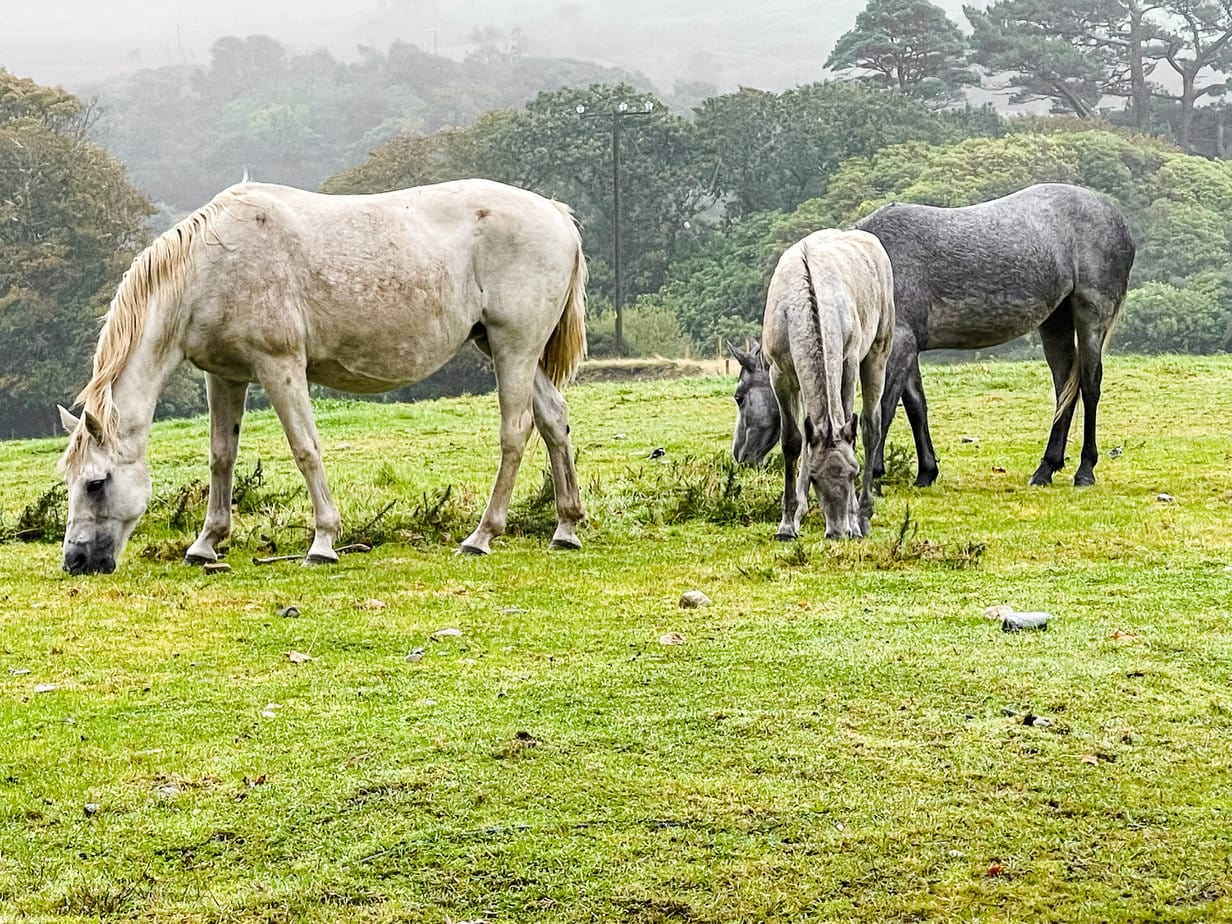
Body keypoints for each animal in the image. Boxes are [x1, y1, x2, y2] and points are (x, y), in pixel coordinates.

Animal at [60, 177, 588, 576]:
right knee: (554, 422)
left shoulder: (280, 365)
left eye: (95, 483)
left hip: (513, 348)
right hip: (508, 349)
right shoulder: (225, 376)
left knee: (515, 432)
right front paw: (206, 543)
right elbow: (221, 457)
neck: (211, 265)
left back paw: (482, 535)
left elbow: (305, 449)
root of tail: (556, 214)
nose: (76, 561)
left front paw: (323, 541)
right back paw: (566, 528)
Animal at [729, 182, 1133, 492]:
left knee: (1090, 386)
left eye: (738, 396)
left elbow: (884, 409)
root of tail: (1116, 217)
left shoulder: (897, 348)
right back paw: (1046, 468)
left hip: (1090, 317)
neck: (872, 268)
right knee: (1065, 386)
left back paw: (1084, 471)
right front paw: (926, 472)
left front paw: (874, 477)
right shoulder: (908, 350)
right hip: (1055, 322)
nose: (739, 457)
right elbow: (916, 405)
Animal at [729, 226, 896, 539]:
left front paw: (853, 519)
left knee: (871, 427)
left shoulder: (848, 362)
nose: (838, 531)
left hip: (877, 353)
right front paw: (788, 522)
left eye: (853, 473)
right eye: (816, 478)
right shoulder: (782, 375)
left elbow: (847, 422)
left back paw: (863, 516)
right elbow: (794, 440)